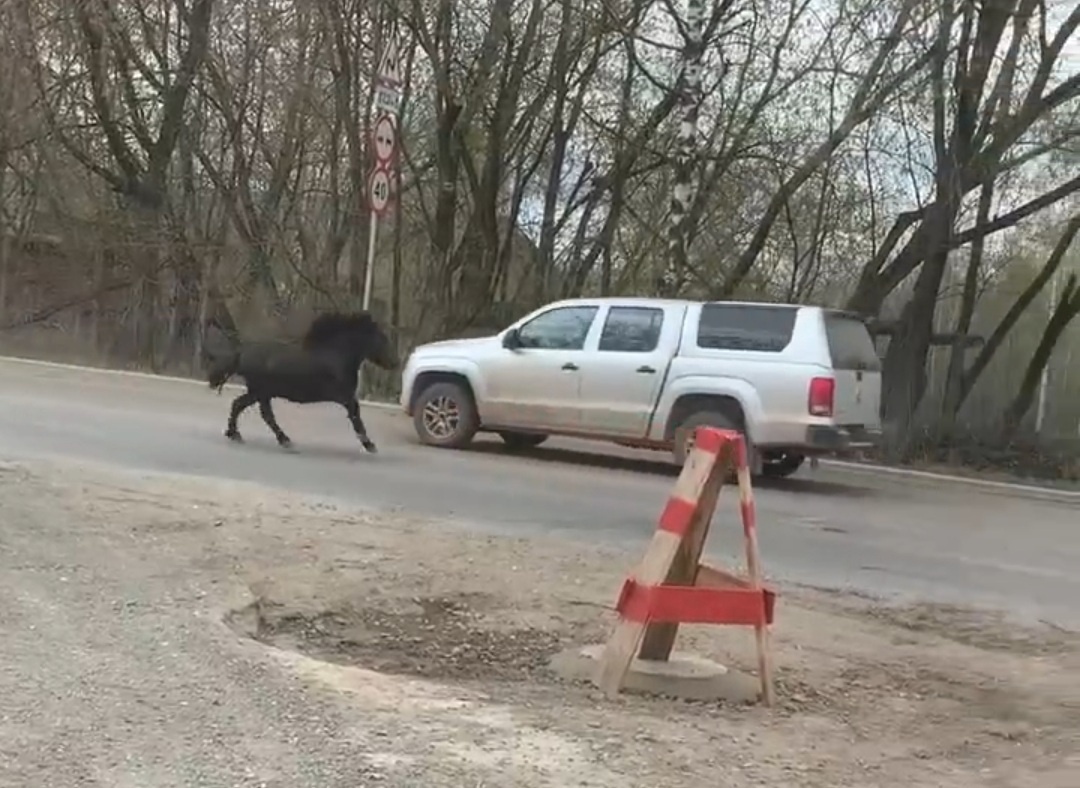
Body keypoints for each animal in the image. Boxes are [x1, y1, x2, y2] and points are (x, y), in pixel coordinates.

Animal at [204, 310, 399, 451]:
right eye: (382, 338)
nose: (395, 363)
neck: (336, 355)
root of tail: (241, 352)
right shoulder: (343, 396)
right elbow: (355, 415)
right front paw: (369, 444)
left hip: (260, 392)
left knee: (245, 407)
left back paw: (238, 434)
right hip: (260, 391)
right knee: (257, 411)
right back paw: (277, 439)